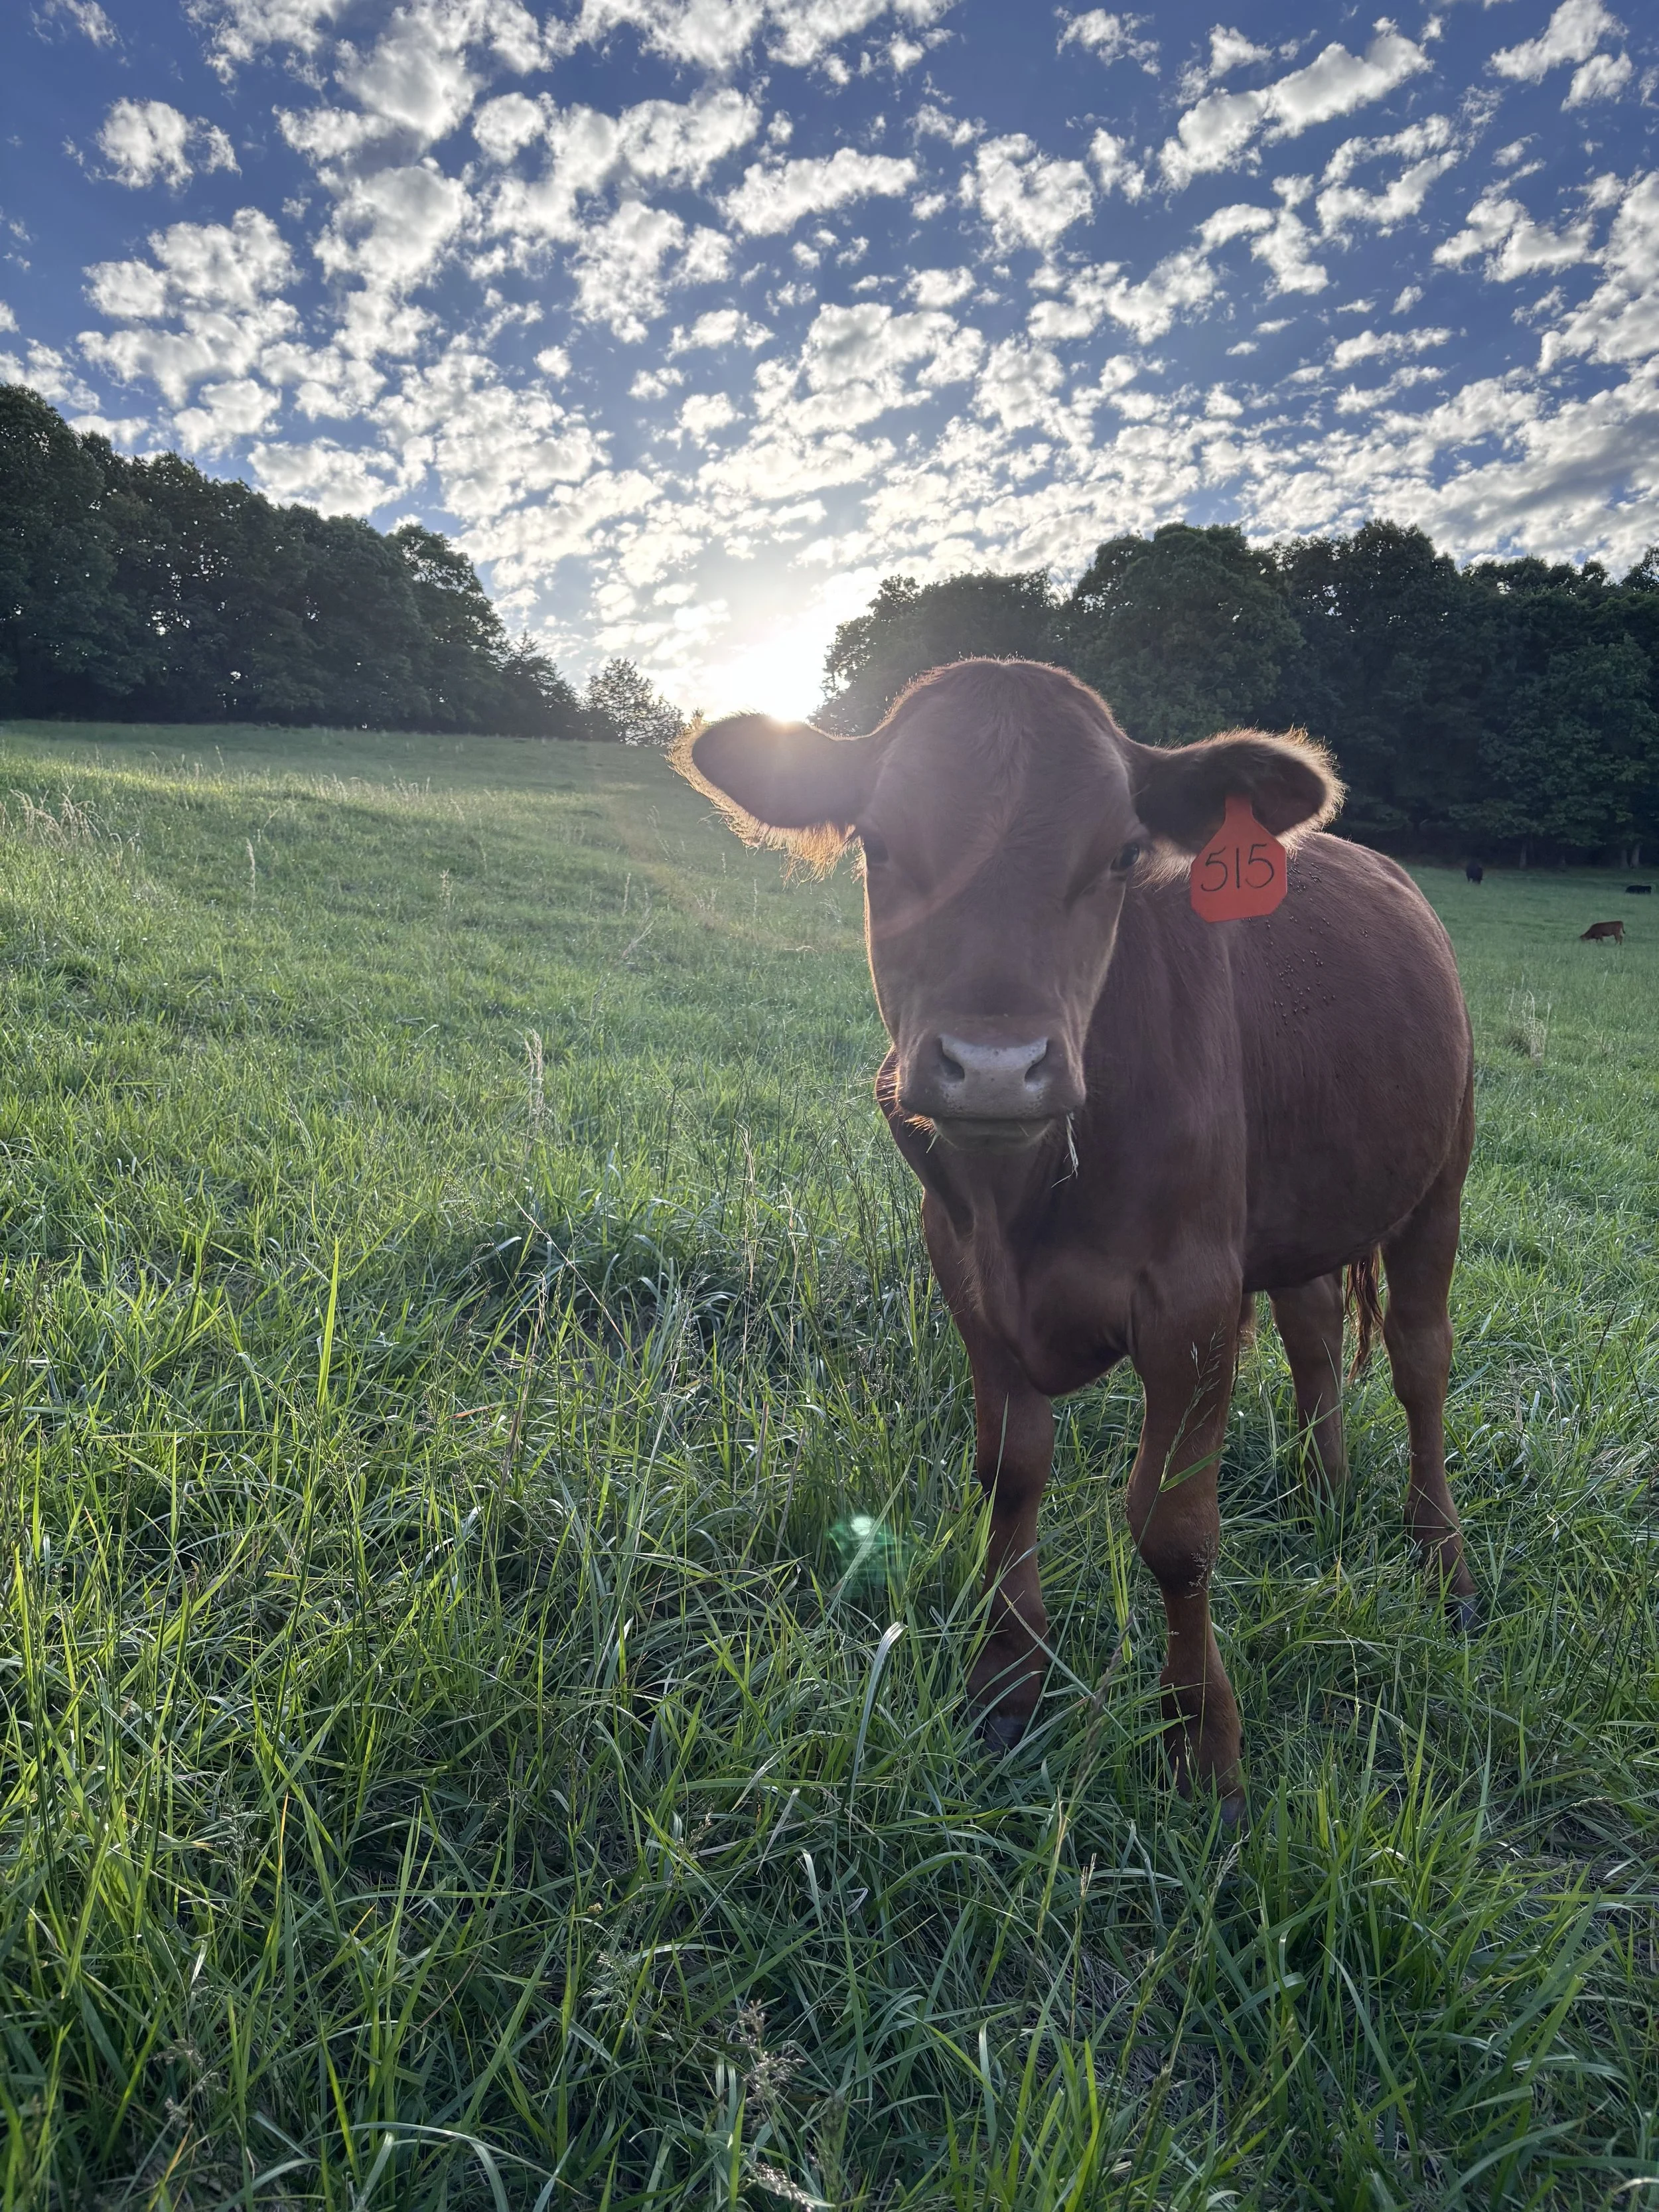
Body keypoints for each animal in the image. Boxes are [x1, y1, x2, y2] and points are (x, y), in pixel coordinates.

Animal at [679, 660, 1477, 1819]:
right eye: (879, 843)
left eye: (1122, 855)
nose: (995, 1067)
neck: (1026, 1203)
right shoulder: (964, 1270)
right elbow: (1010, 1471)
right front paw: (1007, 1682)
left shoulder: (1192, 1298)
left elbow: (1175, 1530)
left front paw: (1204, 1746)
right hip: (1302, 1205)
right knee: (1317, 1327)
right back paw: (1323, 1489)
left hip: (1441, 1176)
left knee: (1421, 1364)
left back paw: (1443, 1565)